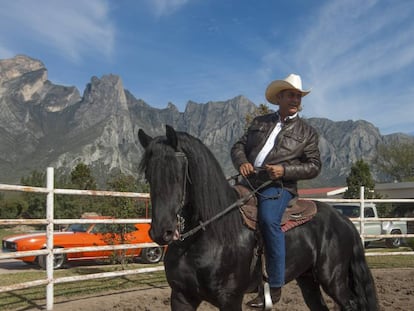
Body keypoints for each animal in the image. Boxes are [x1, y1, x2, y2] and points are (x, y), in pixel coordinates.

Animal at [139, 125, 378, 310]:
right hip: (308, 279)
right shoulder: (181, 297)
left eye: (176, 173)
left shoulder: (230, 300)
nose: (161, 231)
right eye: (148, 174)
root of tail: (343, 221)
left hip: (334, 279)